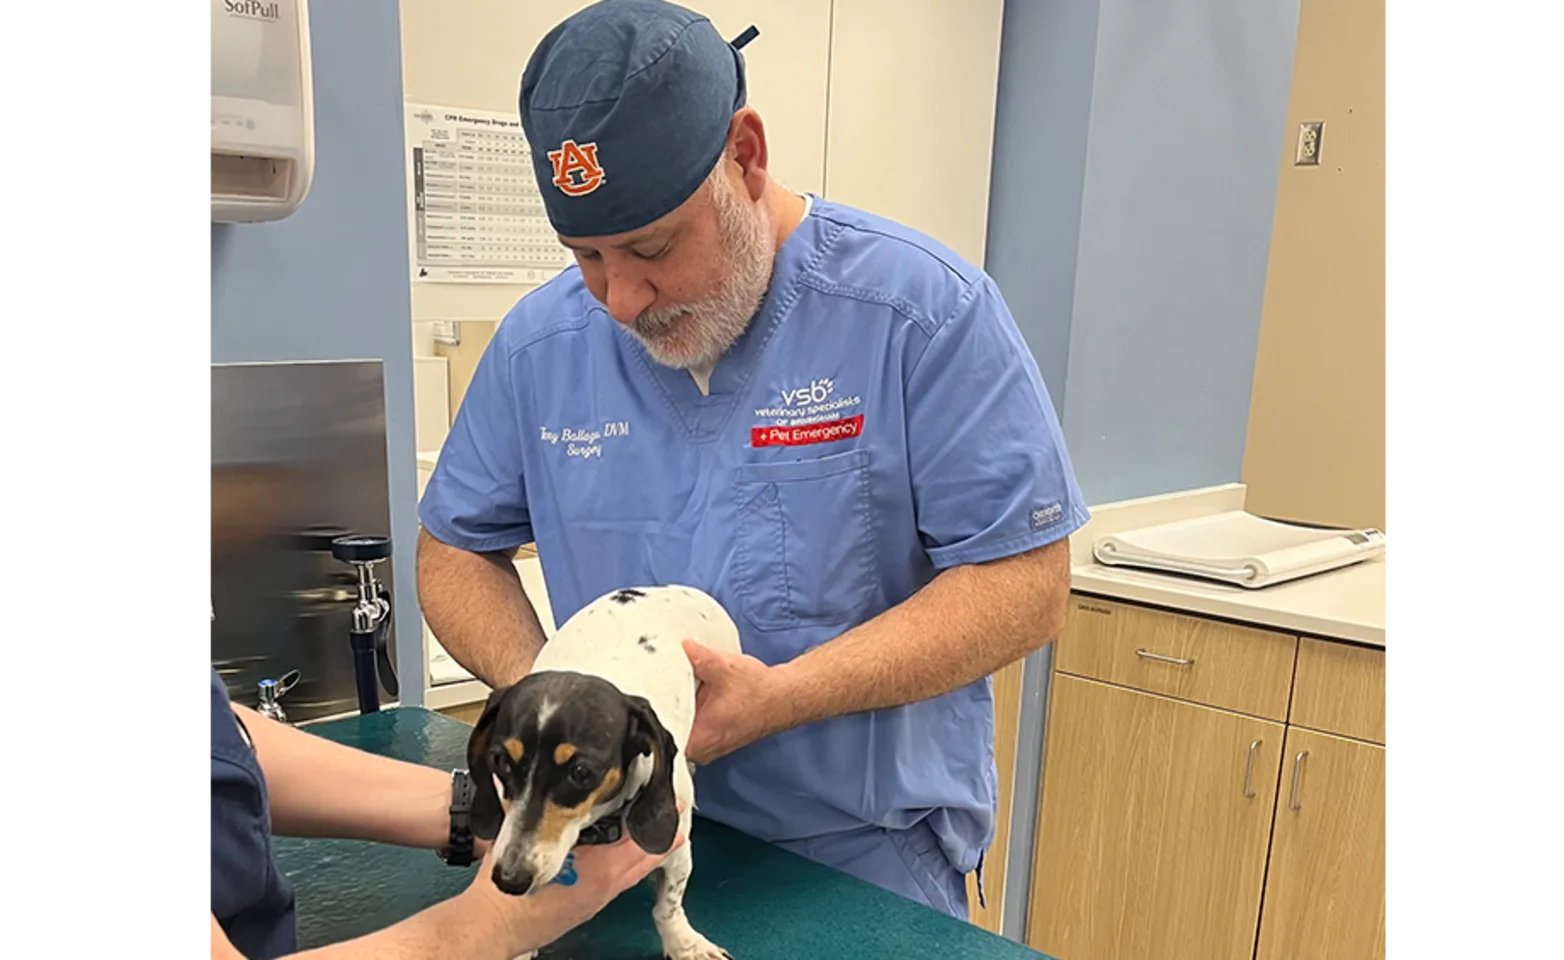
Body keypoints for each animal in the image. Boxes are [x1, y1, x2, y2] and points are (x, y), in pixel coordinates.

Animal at [462, 587, 738, 960]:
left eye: (580, 772)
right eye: (501, 762)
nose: (509, 879)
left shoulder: (677, 848)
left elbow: (667, 906)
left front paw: (685, 945)